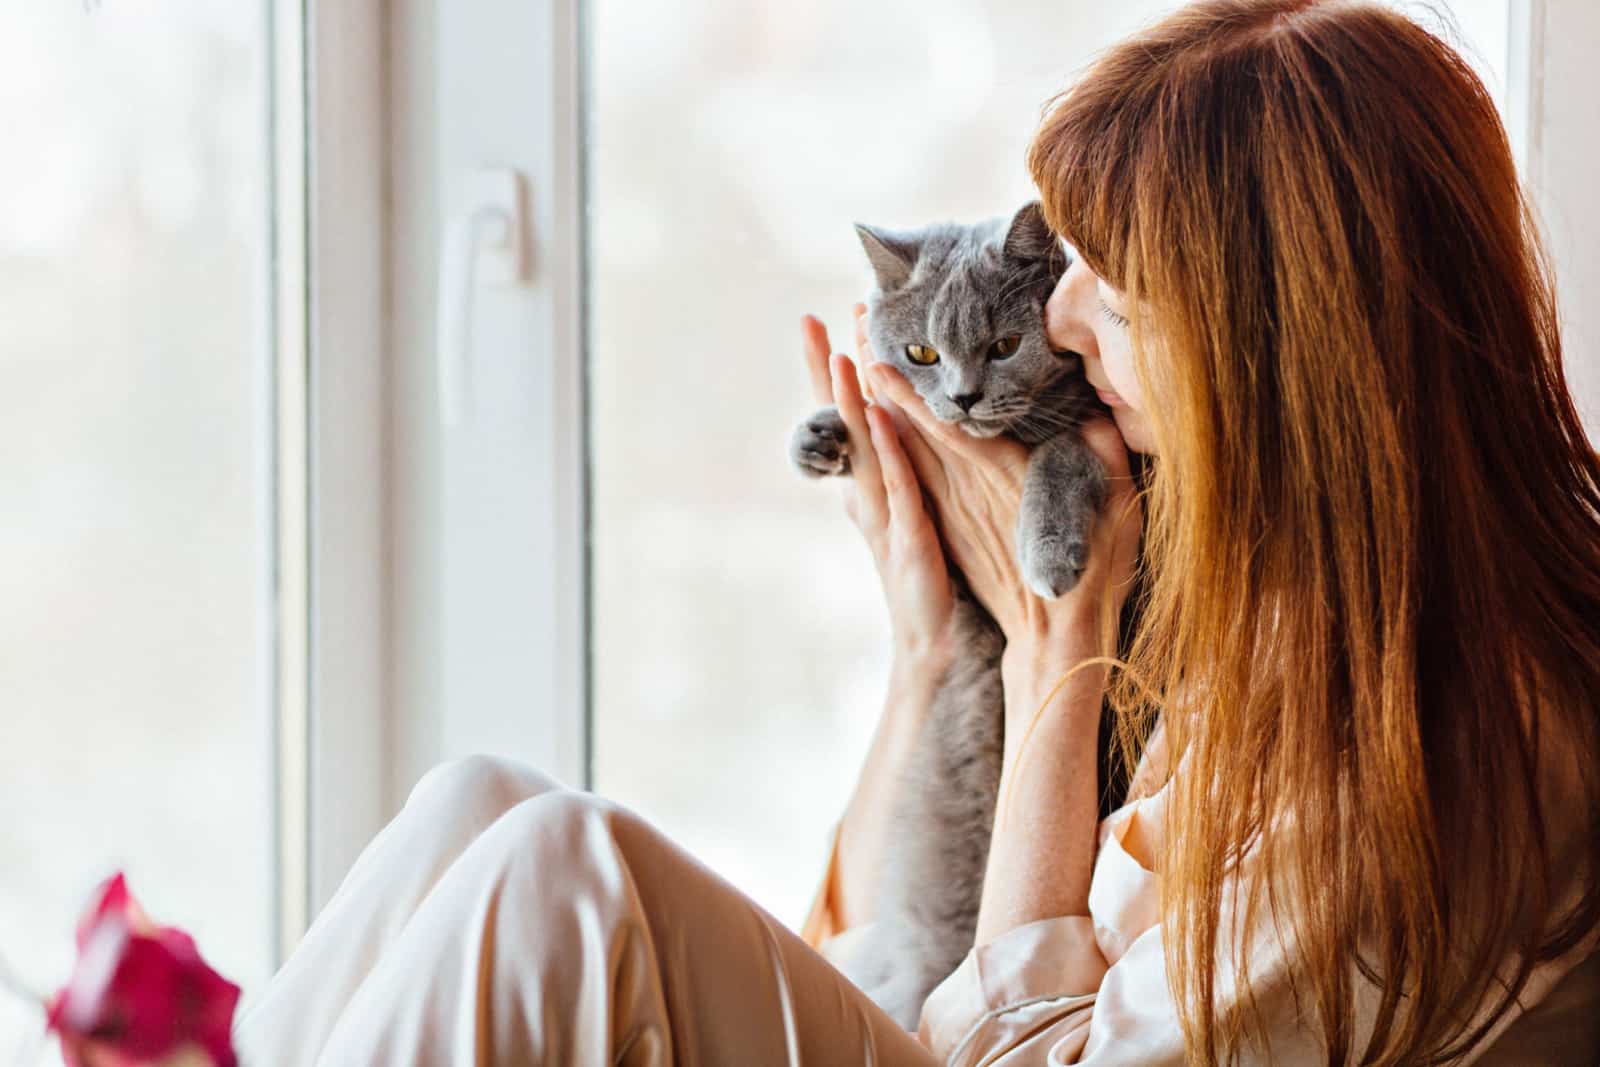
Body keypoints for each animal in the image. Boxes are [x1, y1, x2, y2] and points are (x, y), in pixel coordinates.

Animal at [793, 199, 1107, 1023]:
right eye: (921, 352)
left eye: (1004, 346)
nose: (962, 398)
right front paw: (821, 433)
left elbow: (1063, 448)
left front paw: (1049, 552)